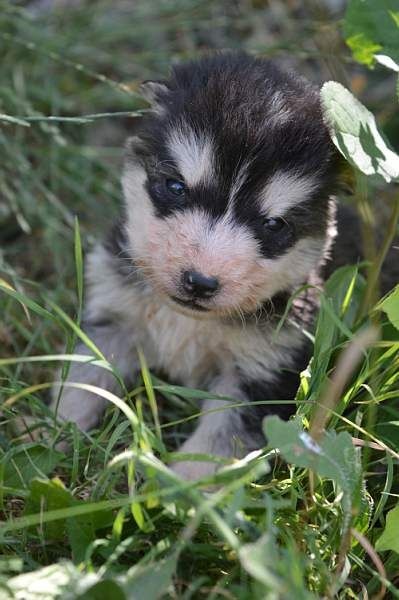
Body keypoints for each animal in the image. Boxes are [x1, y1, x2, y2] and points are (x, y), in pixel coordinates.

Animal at [52, 54, 340, 480]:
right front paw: (51, 431)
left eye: (273, 225)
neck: (187, 322)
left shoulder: (263, 371)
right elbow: (84, 379)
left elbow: (220, 437)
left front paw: (181, 487)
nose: (200, 282)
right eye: (176, 187)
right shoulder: (113, 317)